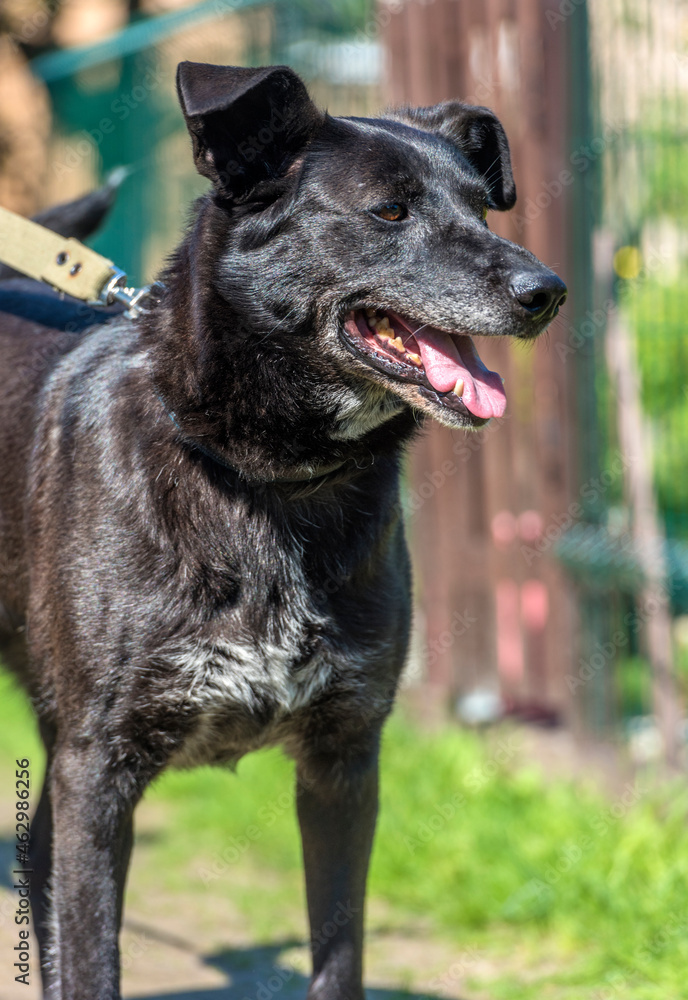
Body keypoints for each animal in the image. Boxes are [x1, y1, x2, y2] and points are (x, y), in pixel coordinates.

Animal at [0, 62, 564, 1000]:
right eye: (388, 211)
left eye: (483, 208)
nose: (545, 293)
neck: (269, 484)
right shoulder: (96, 772)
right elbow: (88, 957)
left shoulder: (343, 764)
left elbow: (338, 951)